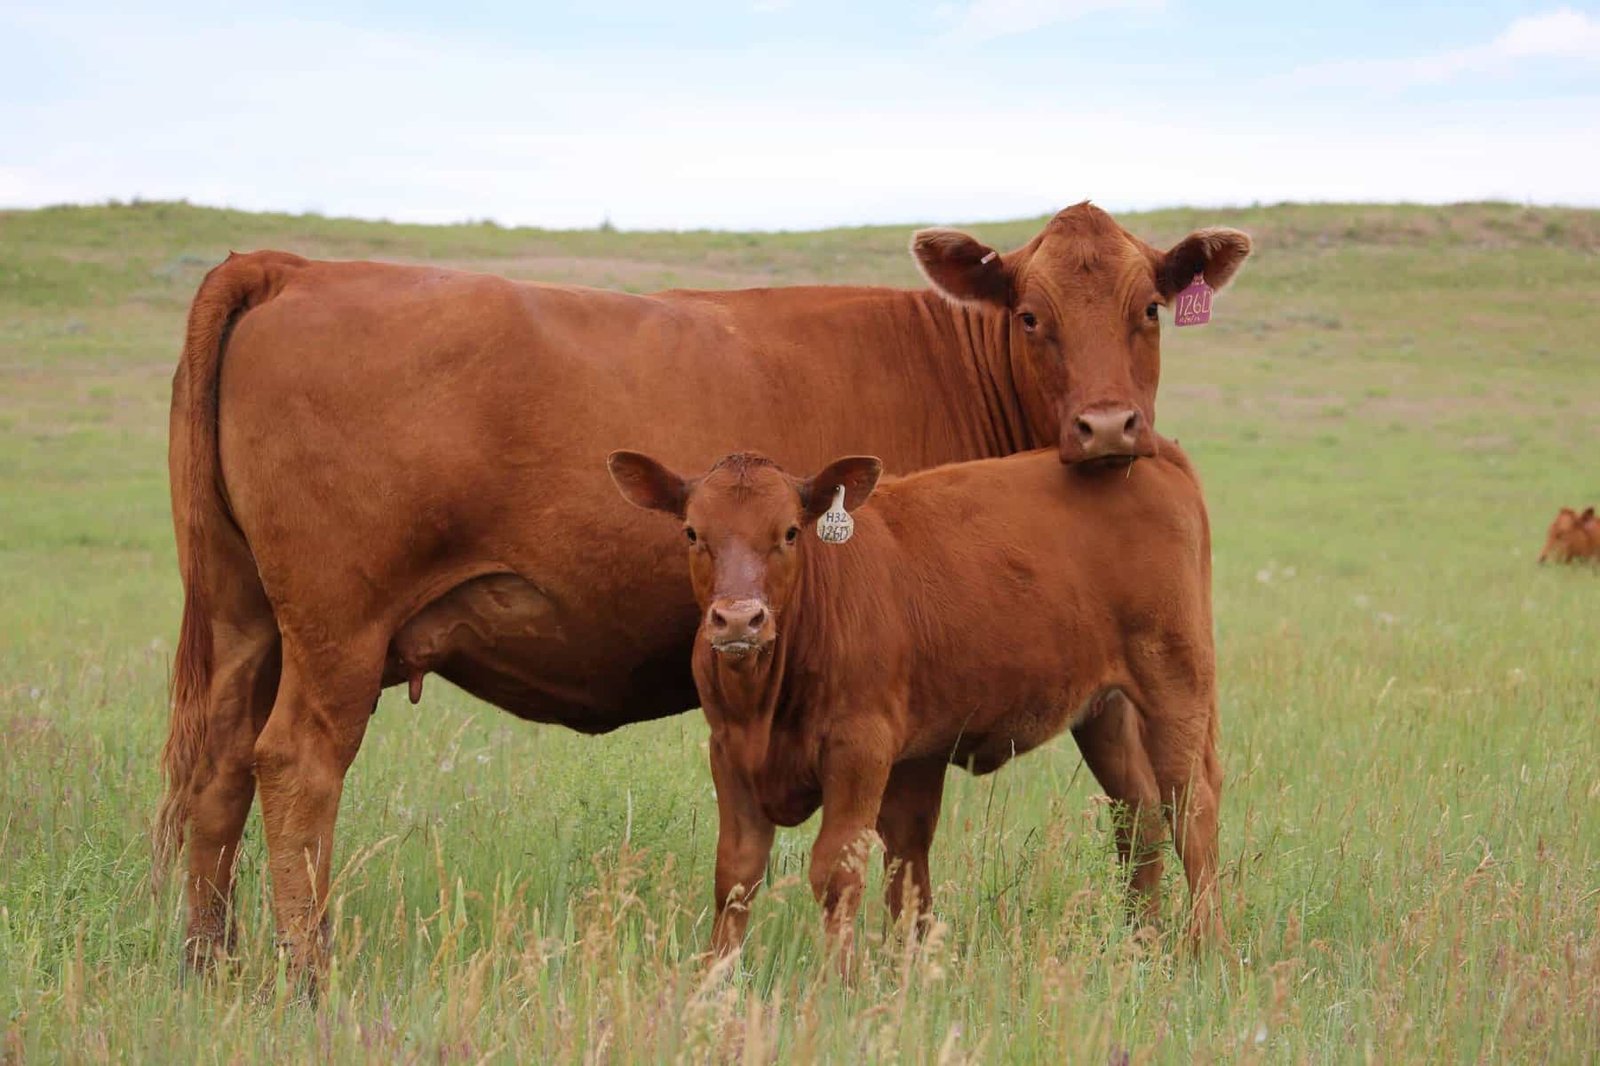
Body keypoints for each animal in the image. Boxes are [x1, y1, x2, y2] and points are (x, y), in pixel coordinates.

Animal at [607, 443, 1220, 960]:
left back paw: (1201, 948)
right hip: (1105, 709)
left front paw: (839, 985)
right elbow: (736, 873)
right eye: (692, 532)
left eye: (789, 532)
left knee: (1193, 809)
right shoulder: (729, 751)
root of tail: (1148, 454)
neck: (764, 701)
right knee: (1139, 816)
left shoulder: (861, 749)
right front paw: (715, 978)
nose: (738, 619)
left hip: (1175, 682)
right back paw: (1140, 943)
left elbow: (837, 870)